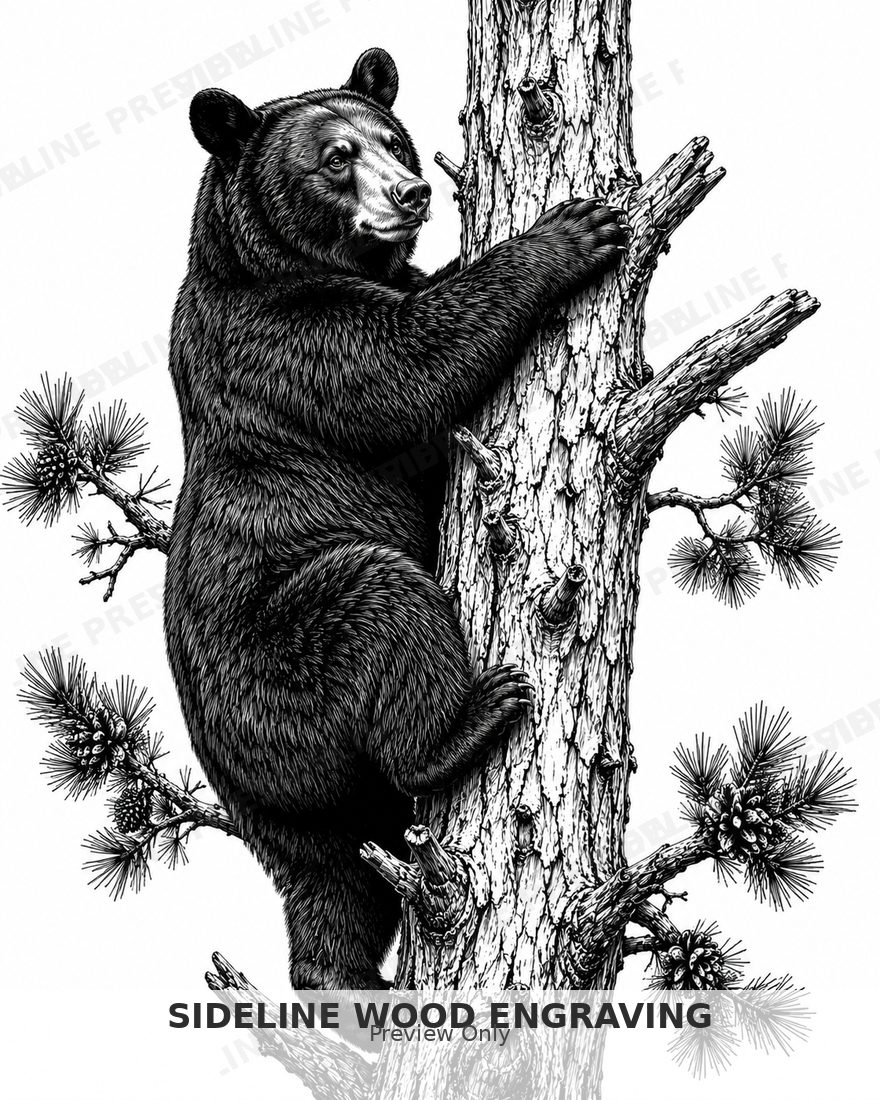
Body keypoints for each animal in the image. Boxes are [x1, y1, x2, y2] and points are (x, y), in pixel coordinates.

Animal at [164, 46, 628, 990]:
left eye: (393, 138)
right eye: (336, 157)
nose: (412, 191)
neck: (265, 265)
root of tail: (254, 794)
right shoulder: (282, 338)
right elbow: (407, 362)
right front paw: (573, 231)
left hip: (307, 816)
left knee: (346, 889)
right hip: (279, 668)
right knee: (377, 601)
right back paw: (469, 719)